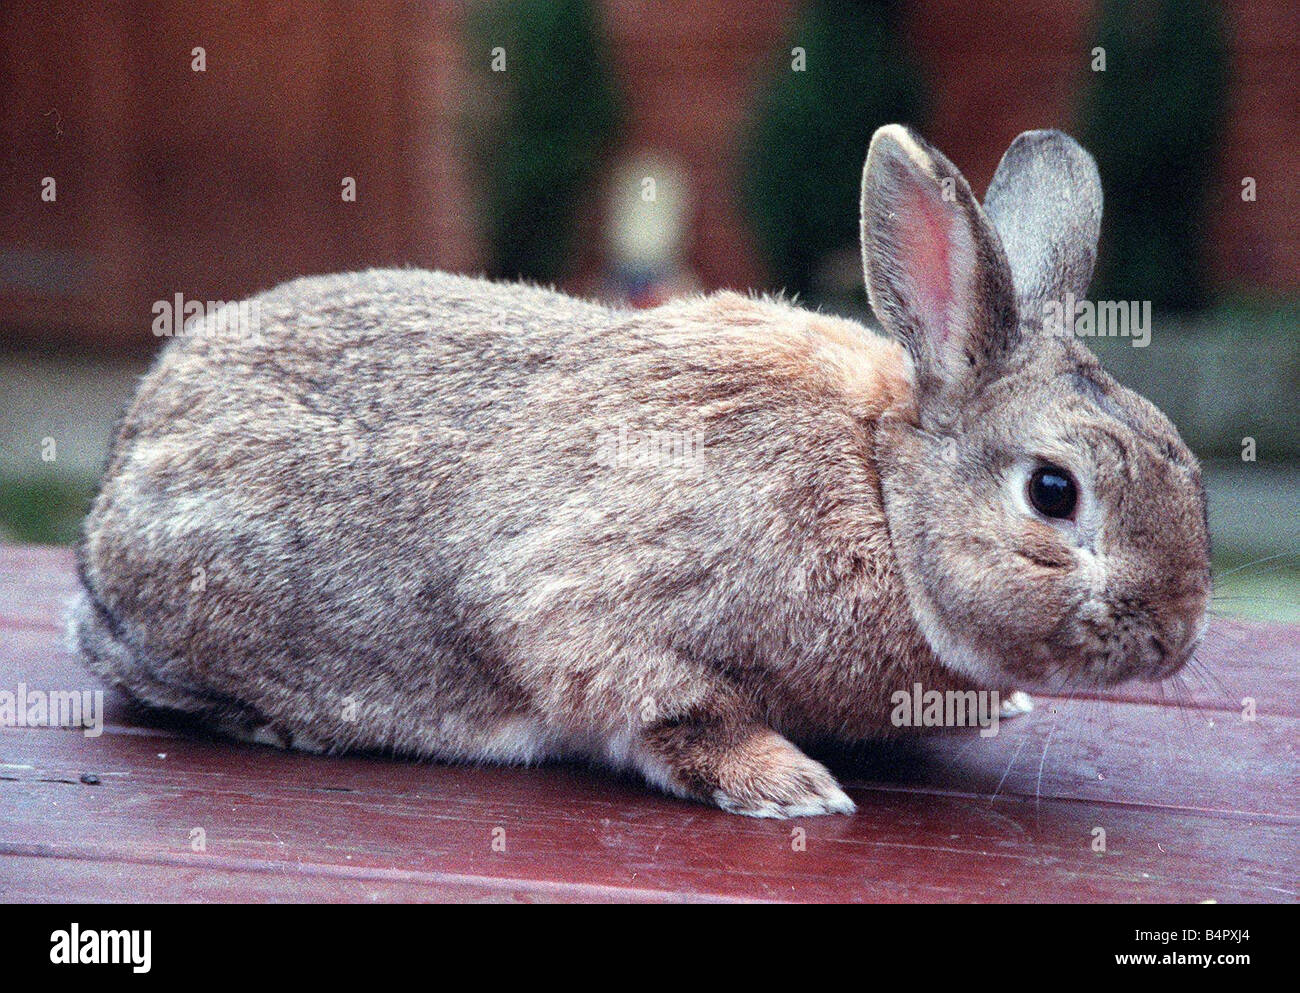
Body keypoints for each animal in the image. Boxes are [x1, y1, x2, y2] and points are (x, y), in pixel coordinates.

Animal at [70, 126, 1211, 818]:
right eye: (1053, 492)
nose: (1176, 636)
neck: (880, 494)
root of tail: (117, 478)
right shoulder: (591, 612)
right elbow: (670, 712)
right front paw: (790, 787)